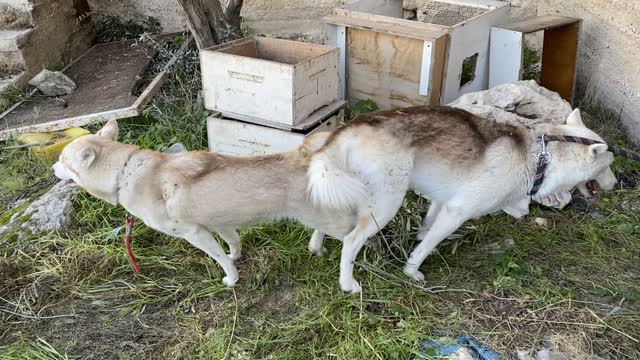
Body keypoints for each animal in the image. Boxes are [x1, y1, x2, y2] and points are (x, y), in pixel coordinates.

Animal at [52, 120, 358, 286]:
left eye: (62, 160)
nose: (52, 169)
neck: (125, 172)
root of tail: (307, 157)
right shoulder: (220, 222)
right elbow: (232, 243)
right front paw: (235, 257)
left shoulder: (195, 233)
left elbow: (219, 258)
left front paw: (231, 279)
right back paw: (316, 247)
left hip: (332, 221)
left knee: (356, 232)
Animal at [308, 105, 616, 292]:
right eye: (609, 165)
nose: (616, 184)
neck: (541, 158)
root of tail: (349, 129)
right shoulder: (456, 212)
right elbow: (427, 246)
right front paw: (411, 271)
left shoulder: (441, 203)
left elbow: (425, 230)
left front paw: (416, 240)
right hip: (385, 205)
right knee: (351, 241)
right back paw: (348, 284)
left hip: (348, 191)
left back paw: (316, 247)